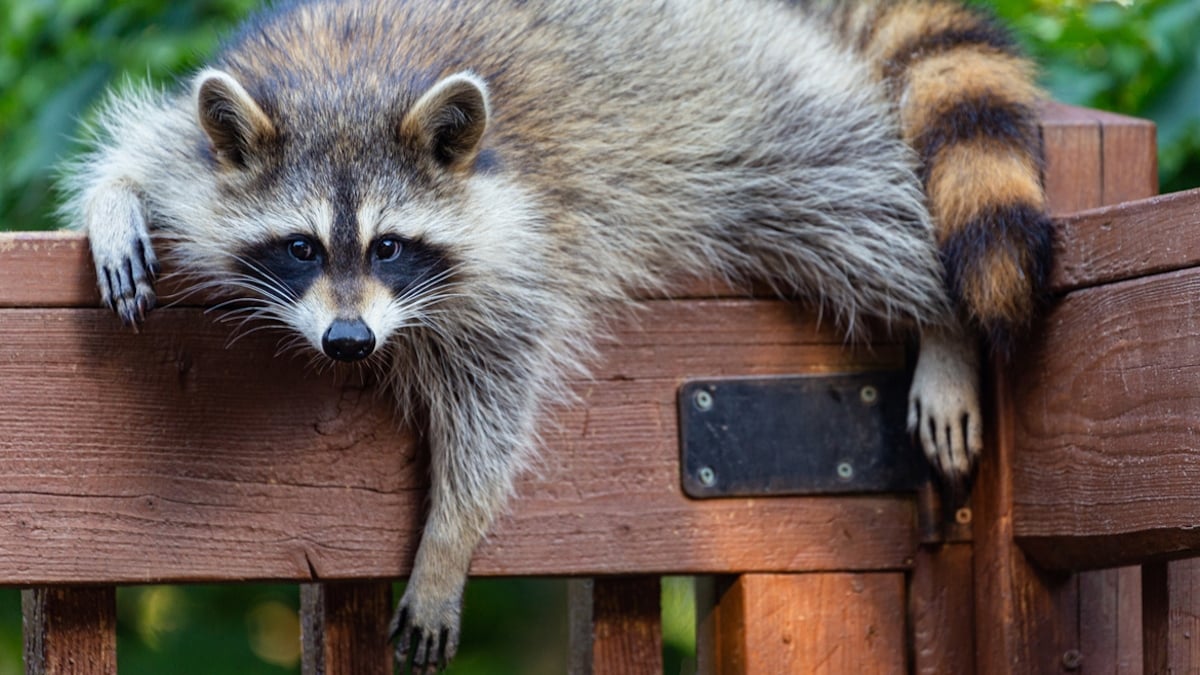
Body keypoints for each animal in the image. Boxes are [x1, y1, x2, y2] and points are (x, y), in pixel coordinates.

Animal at [63, 0, 1051, 667]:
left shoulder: (519, 244)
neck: (348, 84)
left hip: (748, 105)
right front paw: (116, 200)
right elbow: (146, 148)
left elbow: (495, 403)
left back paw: (943, 320)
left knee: (855, 209)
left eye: (388, 245)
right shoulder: (209, 138)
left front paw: (450, 535)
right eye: (302, 246)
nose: (347, 341)